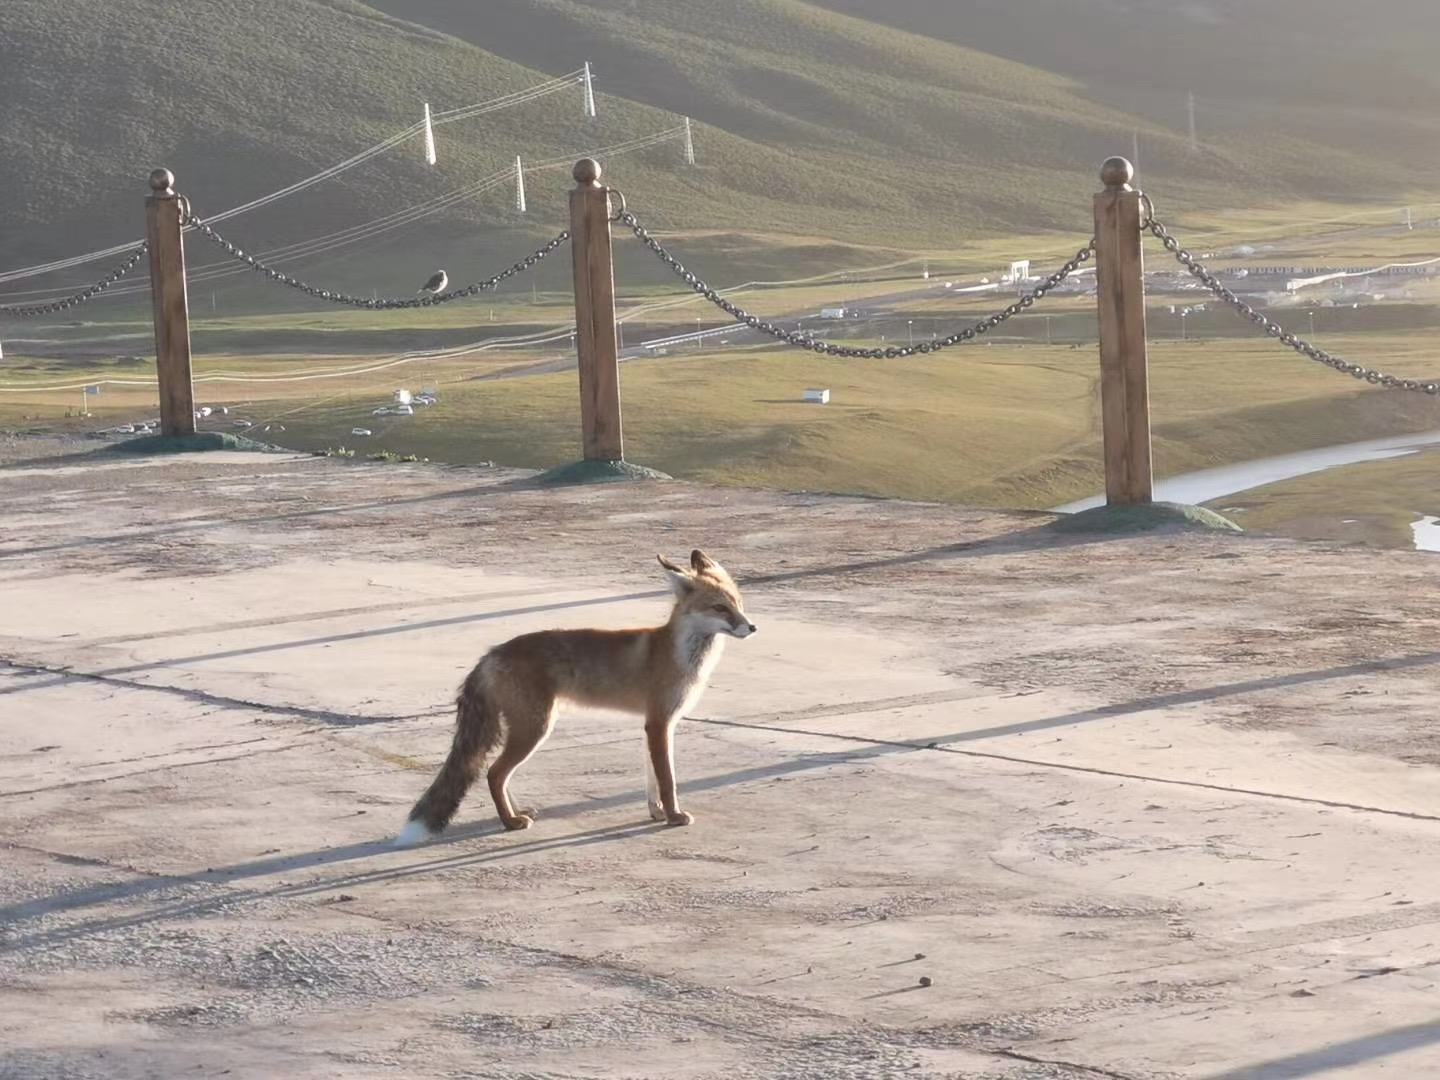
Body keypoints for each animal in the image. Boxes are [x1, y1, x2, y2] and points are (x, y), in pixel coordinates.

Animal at [391, 550, 754, 846]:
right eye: (720, 608)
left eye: (738, 604)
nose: (752, 628)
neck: (677, 653)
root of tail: (490, 654)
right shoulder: (659, 723)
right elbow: (668, 780)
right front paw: (674, 816)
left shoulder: (655, 725)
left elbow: (653, 779)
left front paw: (656, 812)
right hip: (535, 729)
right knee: (494, 773)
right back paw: (510, 822)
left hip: (527, 729)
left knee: (500, 775)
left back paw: (516, 813)